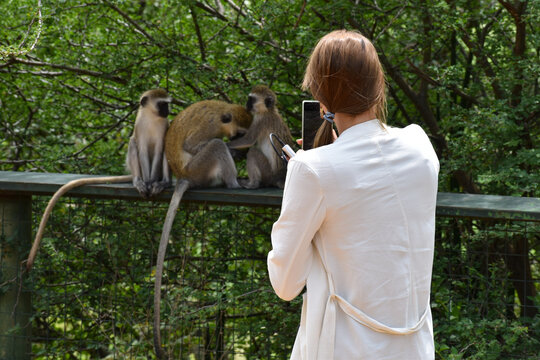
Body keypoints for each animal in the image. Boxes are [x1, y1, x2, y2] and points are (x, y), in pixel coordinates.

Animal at [25, 88, 172, 272]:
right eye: (162, 104)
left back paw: (162, 182)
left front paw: (153, 184)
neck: (152, 117)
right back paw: (138, 181)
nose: (168, 111)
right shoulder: (140, 126)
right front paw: (146, 184)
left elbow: (160, 149)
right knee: (133, 143)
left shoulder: (163, 126)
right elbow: (143, 151)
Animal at [153, 99, 252, 360]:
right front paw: (233, 150)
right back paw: (233, 182)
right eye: (239, 133)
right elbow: (196, 144)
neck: (222, 113)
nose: (239, 142)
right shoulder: (209, 127)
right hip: (199, 167)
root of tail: (185, 176)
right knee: (216, 146)